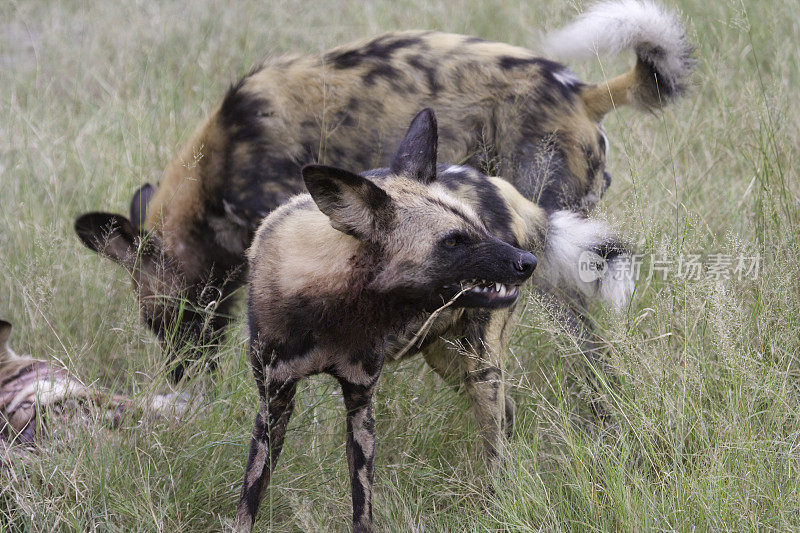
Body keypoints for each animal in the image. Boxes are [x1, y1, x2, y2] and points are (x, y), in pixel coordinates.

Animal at [234, 107, 636, 528]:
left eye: (478, 227)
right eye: (452, 241)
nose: (527, 263)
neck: (329, 311)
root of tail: (502, 188)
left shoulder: (359, 403)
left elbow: (362, 508)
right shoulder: (274, 403)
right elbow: (249, 503)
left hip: (480, 366)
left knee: (496, 442)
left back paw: (495, 503)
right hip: (448, 362)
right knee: (506, 414)